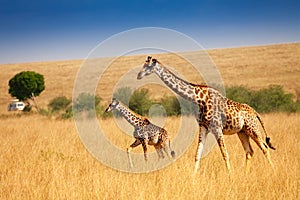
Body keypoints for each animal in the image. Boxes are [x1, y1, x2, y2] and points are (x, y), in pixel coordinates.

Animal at [137, 55, 276, 173]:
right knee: (249, 151)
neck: (198, 99)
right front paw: (193, 179)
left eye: (147, 66)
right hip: (242, 131)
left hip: (253, 129)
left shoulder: (217, 128)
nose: (138, 75)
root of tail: (255, 112)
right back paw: (246, 174)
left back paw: (273, 172)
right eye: (143, 65)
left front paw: (230, 177)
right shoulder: (203, 127)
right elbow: (197, 155)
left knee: (265, 148)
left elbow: (225, 154)